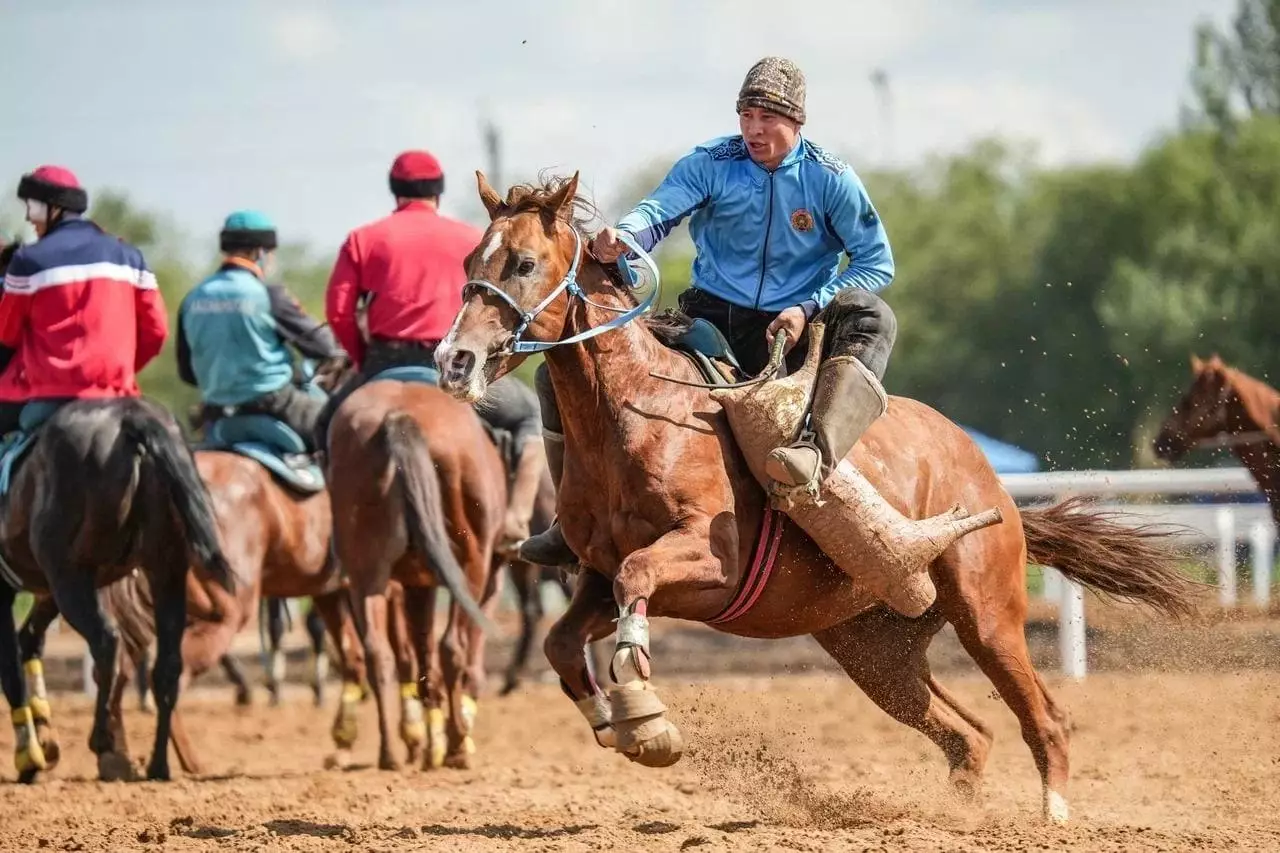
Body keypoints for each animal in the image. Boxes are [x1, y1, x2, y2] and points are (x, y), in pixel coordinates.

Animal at [327, 376, 506, 768]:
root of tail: (399, 417)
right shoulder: (488, 577)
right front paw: (447, 739)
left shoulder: (415, 584)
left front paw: (426, 740)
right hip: (470, 564)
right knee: (451, 647)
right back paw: (456, 746)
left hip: (367, 572)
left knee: (379, 653)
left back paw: (390, 753)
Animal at [437, 171, 1198, 819]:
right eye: (472, 257)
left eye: (523, 263)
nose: (454, 360)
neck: (642, 414)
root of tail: (996, 489)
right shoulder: (592, 574)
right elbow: (565, 641)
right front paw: (619, 724)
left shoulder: (708, 561)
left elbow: (638, 575)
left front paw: (645, 711)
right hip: (875, 652)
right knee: (969, 734)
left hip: (988, 616)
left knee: (1046, 718)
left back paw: (1054, 815)